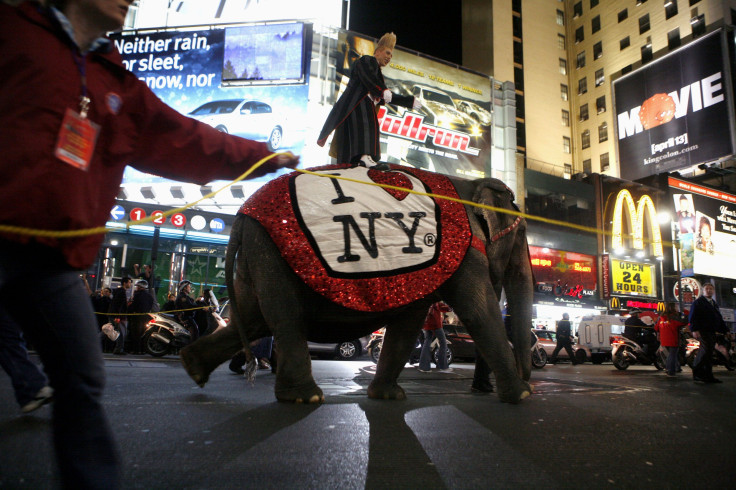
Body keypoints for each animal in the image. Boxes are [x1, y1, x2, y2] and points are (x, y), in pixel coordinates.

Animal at [181, 164, 532, 402]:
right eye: (522, 237)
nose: (530, 381)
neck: (469, 185)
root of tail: (242, 215)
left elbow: (409, 321)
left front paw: (388, 396)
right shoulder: (467, 251)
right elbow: (478, 310)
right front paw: (521, 396)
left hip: (255, 259)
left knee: (255, 319)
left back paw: (192, 367)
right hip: (271, 254)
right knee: (284, 318)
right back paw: (305, 397)